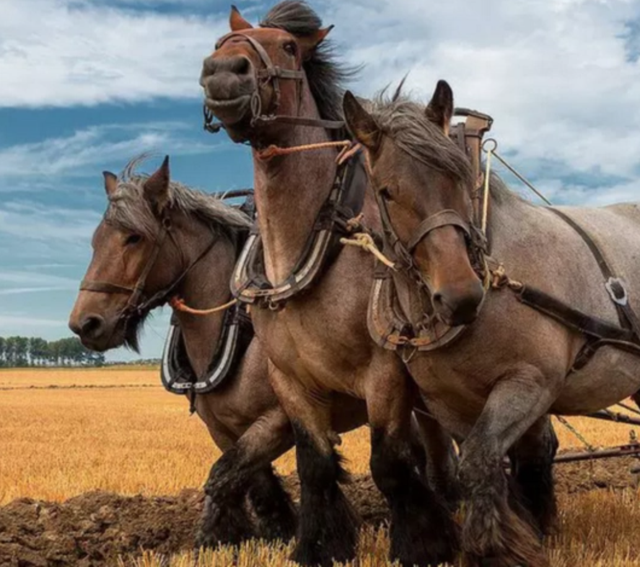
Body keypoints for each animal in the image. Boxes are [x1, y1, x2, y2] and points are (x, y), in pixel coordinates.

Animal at [67, 155, 368, 552]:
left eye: (135, 237)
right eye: (96, 240)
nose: (84, 324)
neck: (235, 330)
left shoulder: (282, 418)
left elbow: (223, 476)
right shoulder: (222, 429)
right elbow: (252, 484)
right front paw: (241, 536)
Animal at [200, 1, 460, 567]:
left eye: (289, 47)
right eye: (218, 43)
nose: (223, 73)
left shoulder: (385, 372)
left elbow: (389, 463)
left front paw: (422, 543)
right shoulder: (292, 383)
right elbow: (315, 466)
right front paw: (321, 545)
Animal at [342, 81, 640, 567]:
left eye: (461, 176)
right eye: (386, 191)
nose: (461, 297)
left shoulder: (530, 383)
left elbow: (482, 460)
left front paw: (499, 547)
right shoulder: (450, 404)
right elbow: (484, 465)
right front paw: (523, 530)